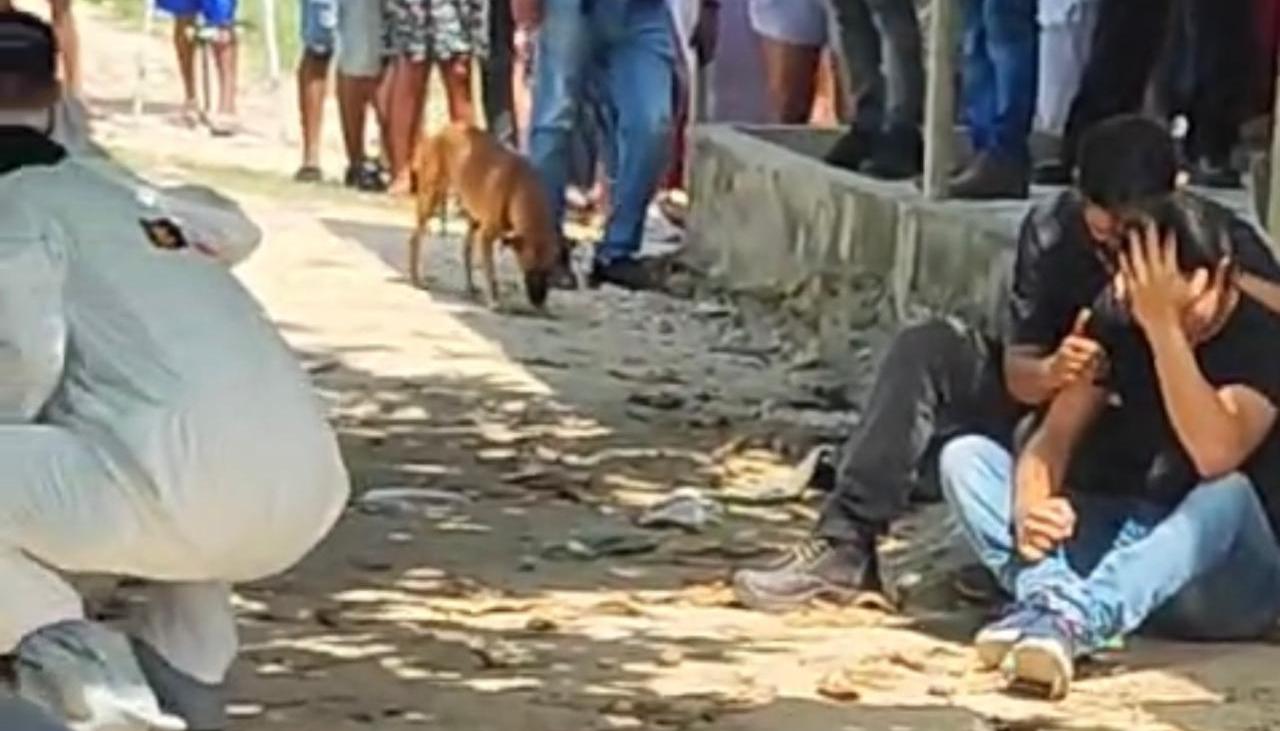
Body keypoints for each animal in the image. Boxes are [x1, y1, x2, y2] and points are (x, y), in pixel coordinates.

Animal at [404, 126, 565, 308]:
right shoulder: (486, 236)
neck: (519, 187)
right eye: (527, 268)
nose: (538, 303)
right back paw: (417, 279)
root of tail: (442, 130)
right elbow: (490, 272)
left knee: (465, 250)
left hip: (471, 217)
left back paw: (470, 287)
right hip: (431, 198)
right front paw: (494, 299)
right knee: (415, 238)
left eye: (549, 271)